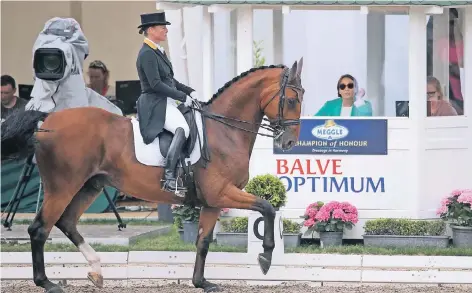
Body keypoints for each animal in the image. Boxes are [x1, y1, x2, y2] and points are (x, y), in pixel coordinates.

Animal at [1, 58, 304, 290]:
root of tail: (47, 120)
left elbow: (203, 241)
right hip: (62, 186)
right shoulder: (222, 192)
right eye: (290, 100)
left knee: (66, 222)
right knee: (40, 228)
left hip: (90, 185)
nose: (289, 142)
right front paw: (265, 258)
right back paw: (47, 283)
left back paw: (97, 270)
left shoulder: (212, 201)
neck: (224, 131)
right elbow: (267, 208)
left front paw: (202, 282)